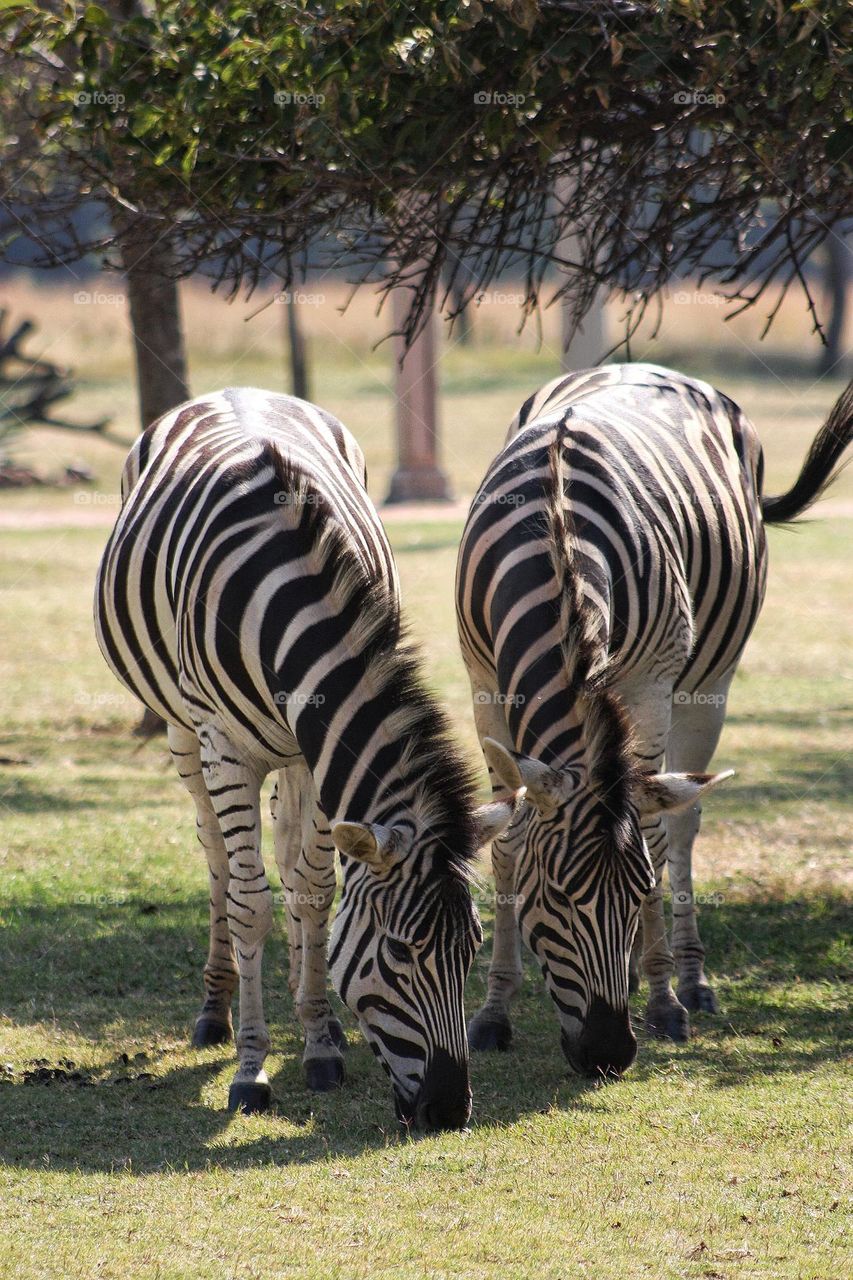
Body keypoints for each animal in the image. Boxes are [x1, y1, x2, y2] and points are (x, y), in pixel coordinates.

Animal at [92, 384, 517, 1126]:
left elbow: (313, 891)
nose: (447, 1110)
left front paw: (318, 1039)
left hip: (292, 757)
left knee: (291, 859)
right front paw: (252, 1071)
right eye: (400, 952)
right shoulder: (226, 749)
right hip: (183, 734)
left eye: (469, 947)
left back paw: (307, 995)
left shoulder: (320, 755)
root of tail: (234, 389)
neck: (281, 592)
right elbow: (248, 903)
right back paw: (217, 1008)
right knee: (216, 860)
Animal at [455, 366, 845, 1075]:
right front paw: (495, 1009)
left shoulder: (651, 684)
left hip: (709, 683)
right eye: (554, 896)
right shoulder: (483, 682)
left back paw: (686, 978)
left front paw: (664, 1001)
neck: (556, 537)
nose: (609, 1053)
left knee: (684, 820)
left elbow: (658, 839)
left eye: (638, 891)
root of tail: (651, 369)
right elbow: (505, 840)